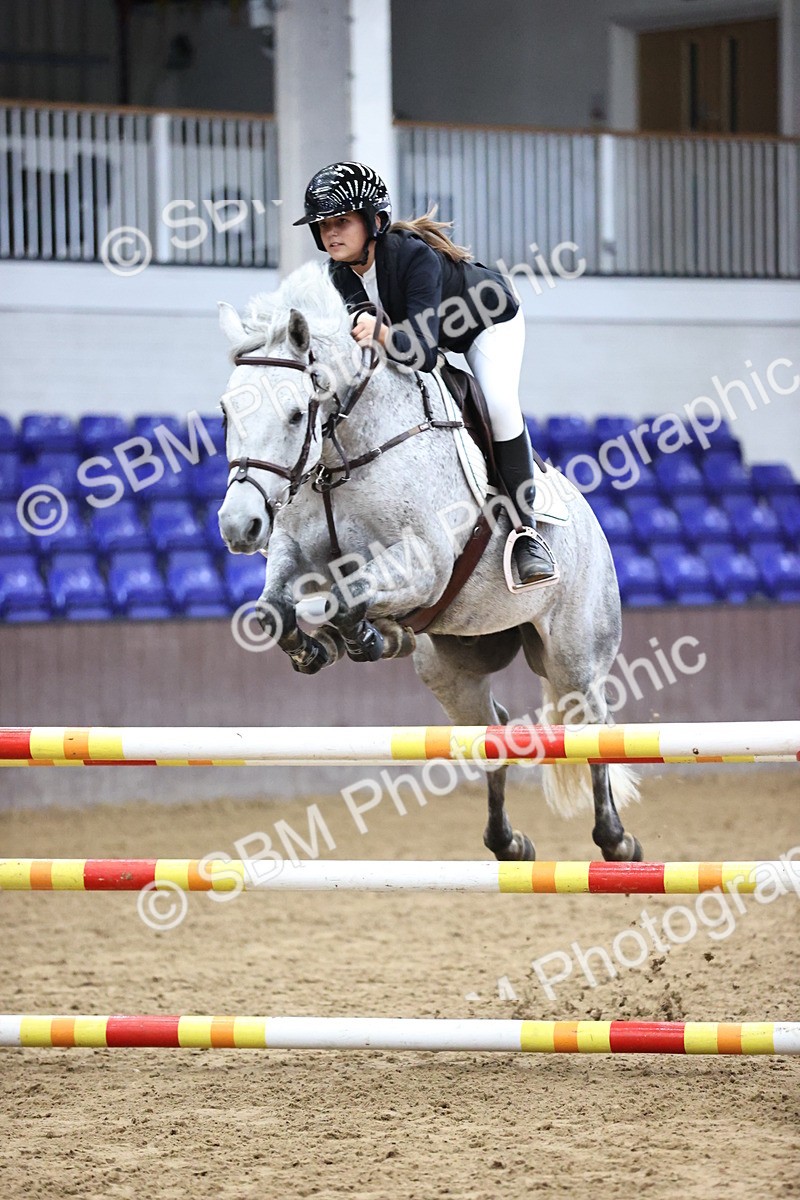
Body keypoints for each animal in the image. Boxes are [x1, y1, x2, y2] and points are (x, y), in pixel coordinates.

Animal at [216, 261, 642, 863]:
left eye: (297, 413)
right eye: (225, 412)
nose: (240, 526)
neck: (345, 452)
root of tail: (589, 518)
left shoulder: (424, 565)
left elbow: (346, 597)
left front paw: (362, 637)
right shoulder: (296, 552)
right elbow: (275, 609)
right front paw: (321, 648)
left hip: (574, 656)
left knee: (591, 726)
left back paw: (617, 840)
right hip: (449, 667)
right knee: (493, 731)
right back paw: (508, 843)